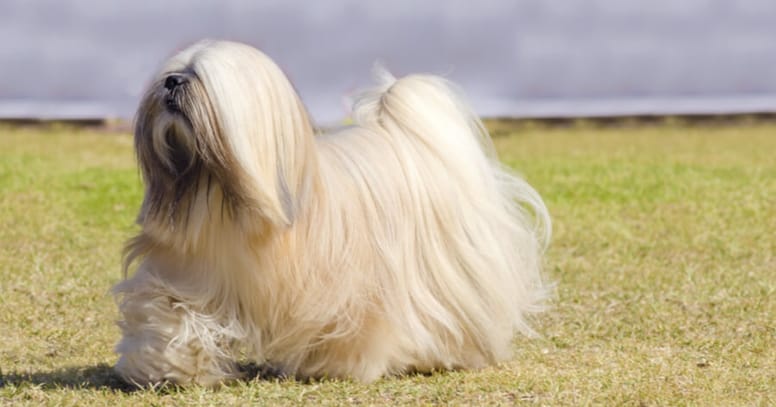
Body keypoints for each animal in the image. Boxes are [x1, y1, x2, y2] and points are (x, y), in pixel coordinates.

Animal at [115, 39, 552, 388]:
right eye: (171, 73)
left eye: (197, 78)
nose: (172, 82)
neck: (225, 199)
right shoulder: (185, 275)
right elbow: (169, 317)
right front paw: (167, 369)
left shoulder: (347, 291)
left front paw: (340, 367)